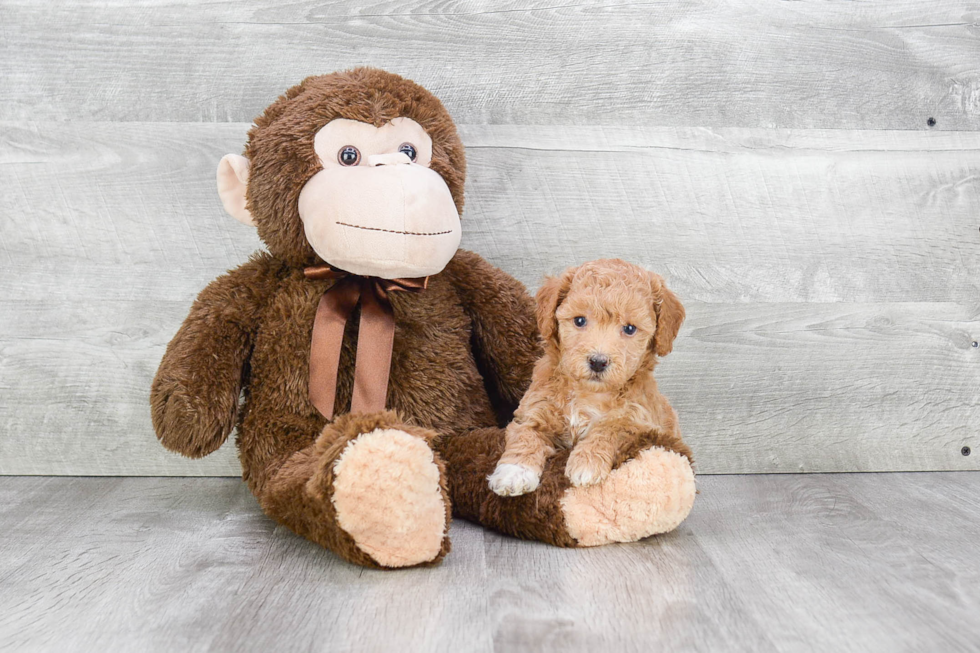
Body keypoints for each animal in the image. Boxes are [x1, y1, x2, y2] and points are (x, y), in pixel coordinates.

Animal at [488, 258, 688, 494]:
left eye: (630, 328)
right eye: (580, 321)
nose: (598, 361)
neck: (588, 393)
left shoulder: (640, 422)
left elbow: (612, 428)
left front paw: (587, 462)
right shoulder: (535, 410)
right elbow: (525, 434)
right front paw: (513, 472)